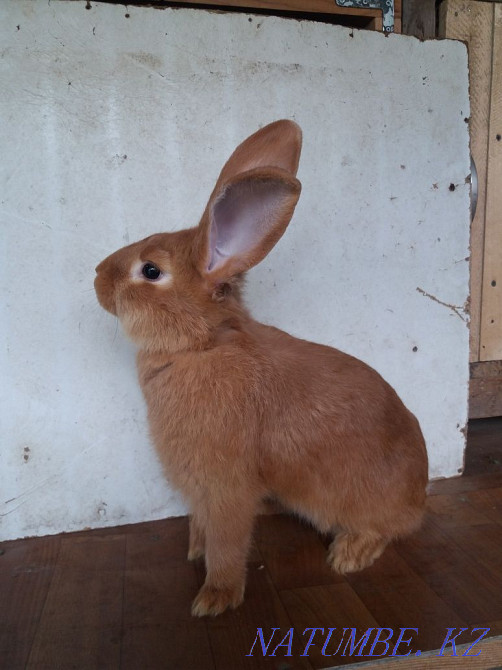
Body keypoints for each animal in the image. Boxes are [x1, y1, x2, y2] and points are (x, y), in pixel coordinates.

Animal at [94, 120, 428, 617]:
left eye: (150, 270)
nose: (97, 276)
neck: (202, 345)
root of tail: (420, 496)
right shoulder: (199, 488)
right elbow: (200, 524)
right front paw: (194, 551)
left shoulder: (227, 484)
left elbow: (228, 542)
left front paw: (214, 598)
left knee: (384, 529)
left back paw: (348, 555)